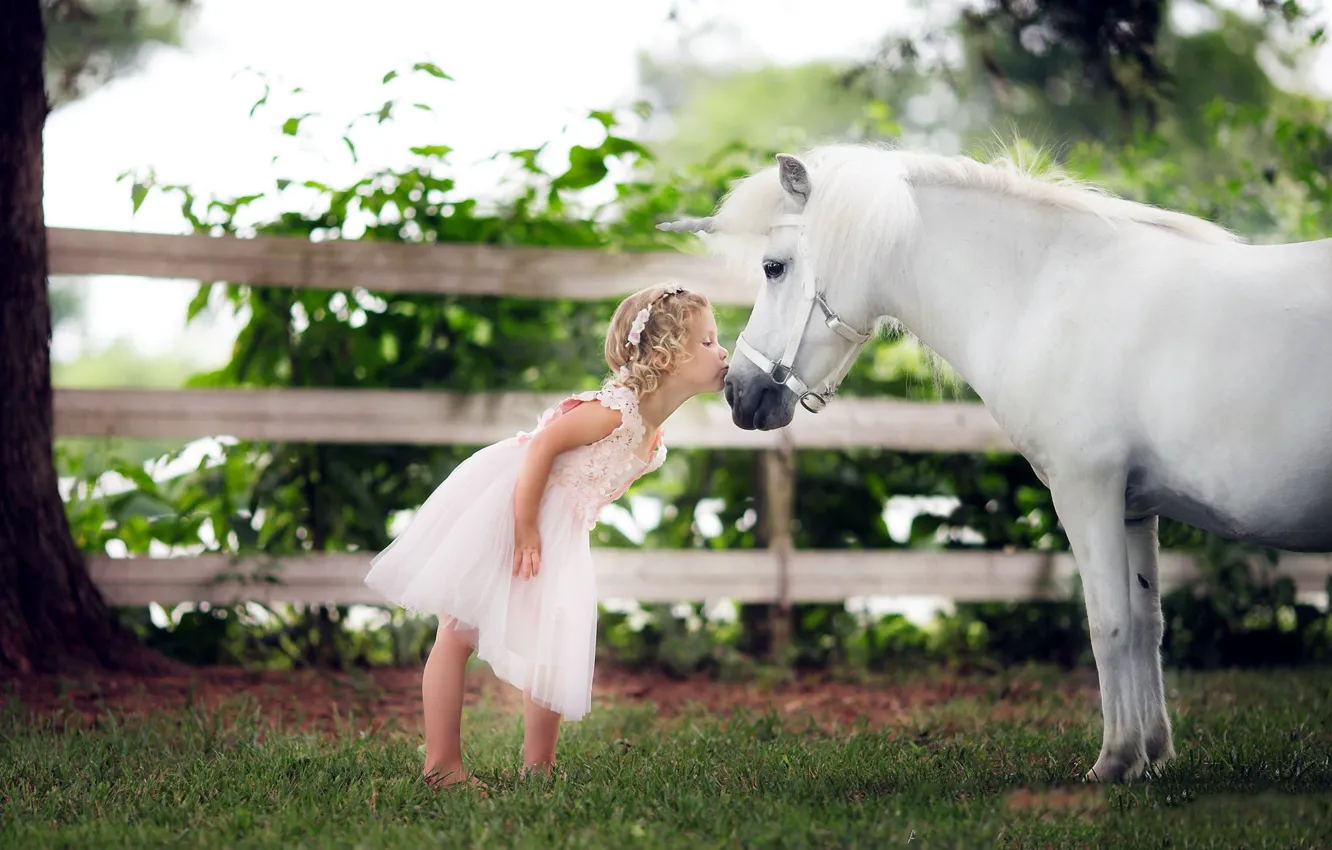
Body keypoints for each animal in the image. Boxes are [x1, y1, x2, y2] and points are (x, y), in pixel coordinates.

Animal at [658, 143, 1332, 783]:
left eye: (774, 267)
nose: (739, 393)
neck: (1049, 292)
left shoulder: (1087, 491)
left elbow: (1108, 625)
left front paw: (1115, 762)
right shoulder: (1135, 510)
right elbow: (1147, 626)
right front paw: (1153, 755)